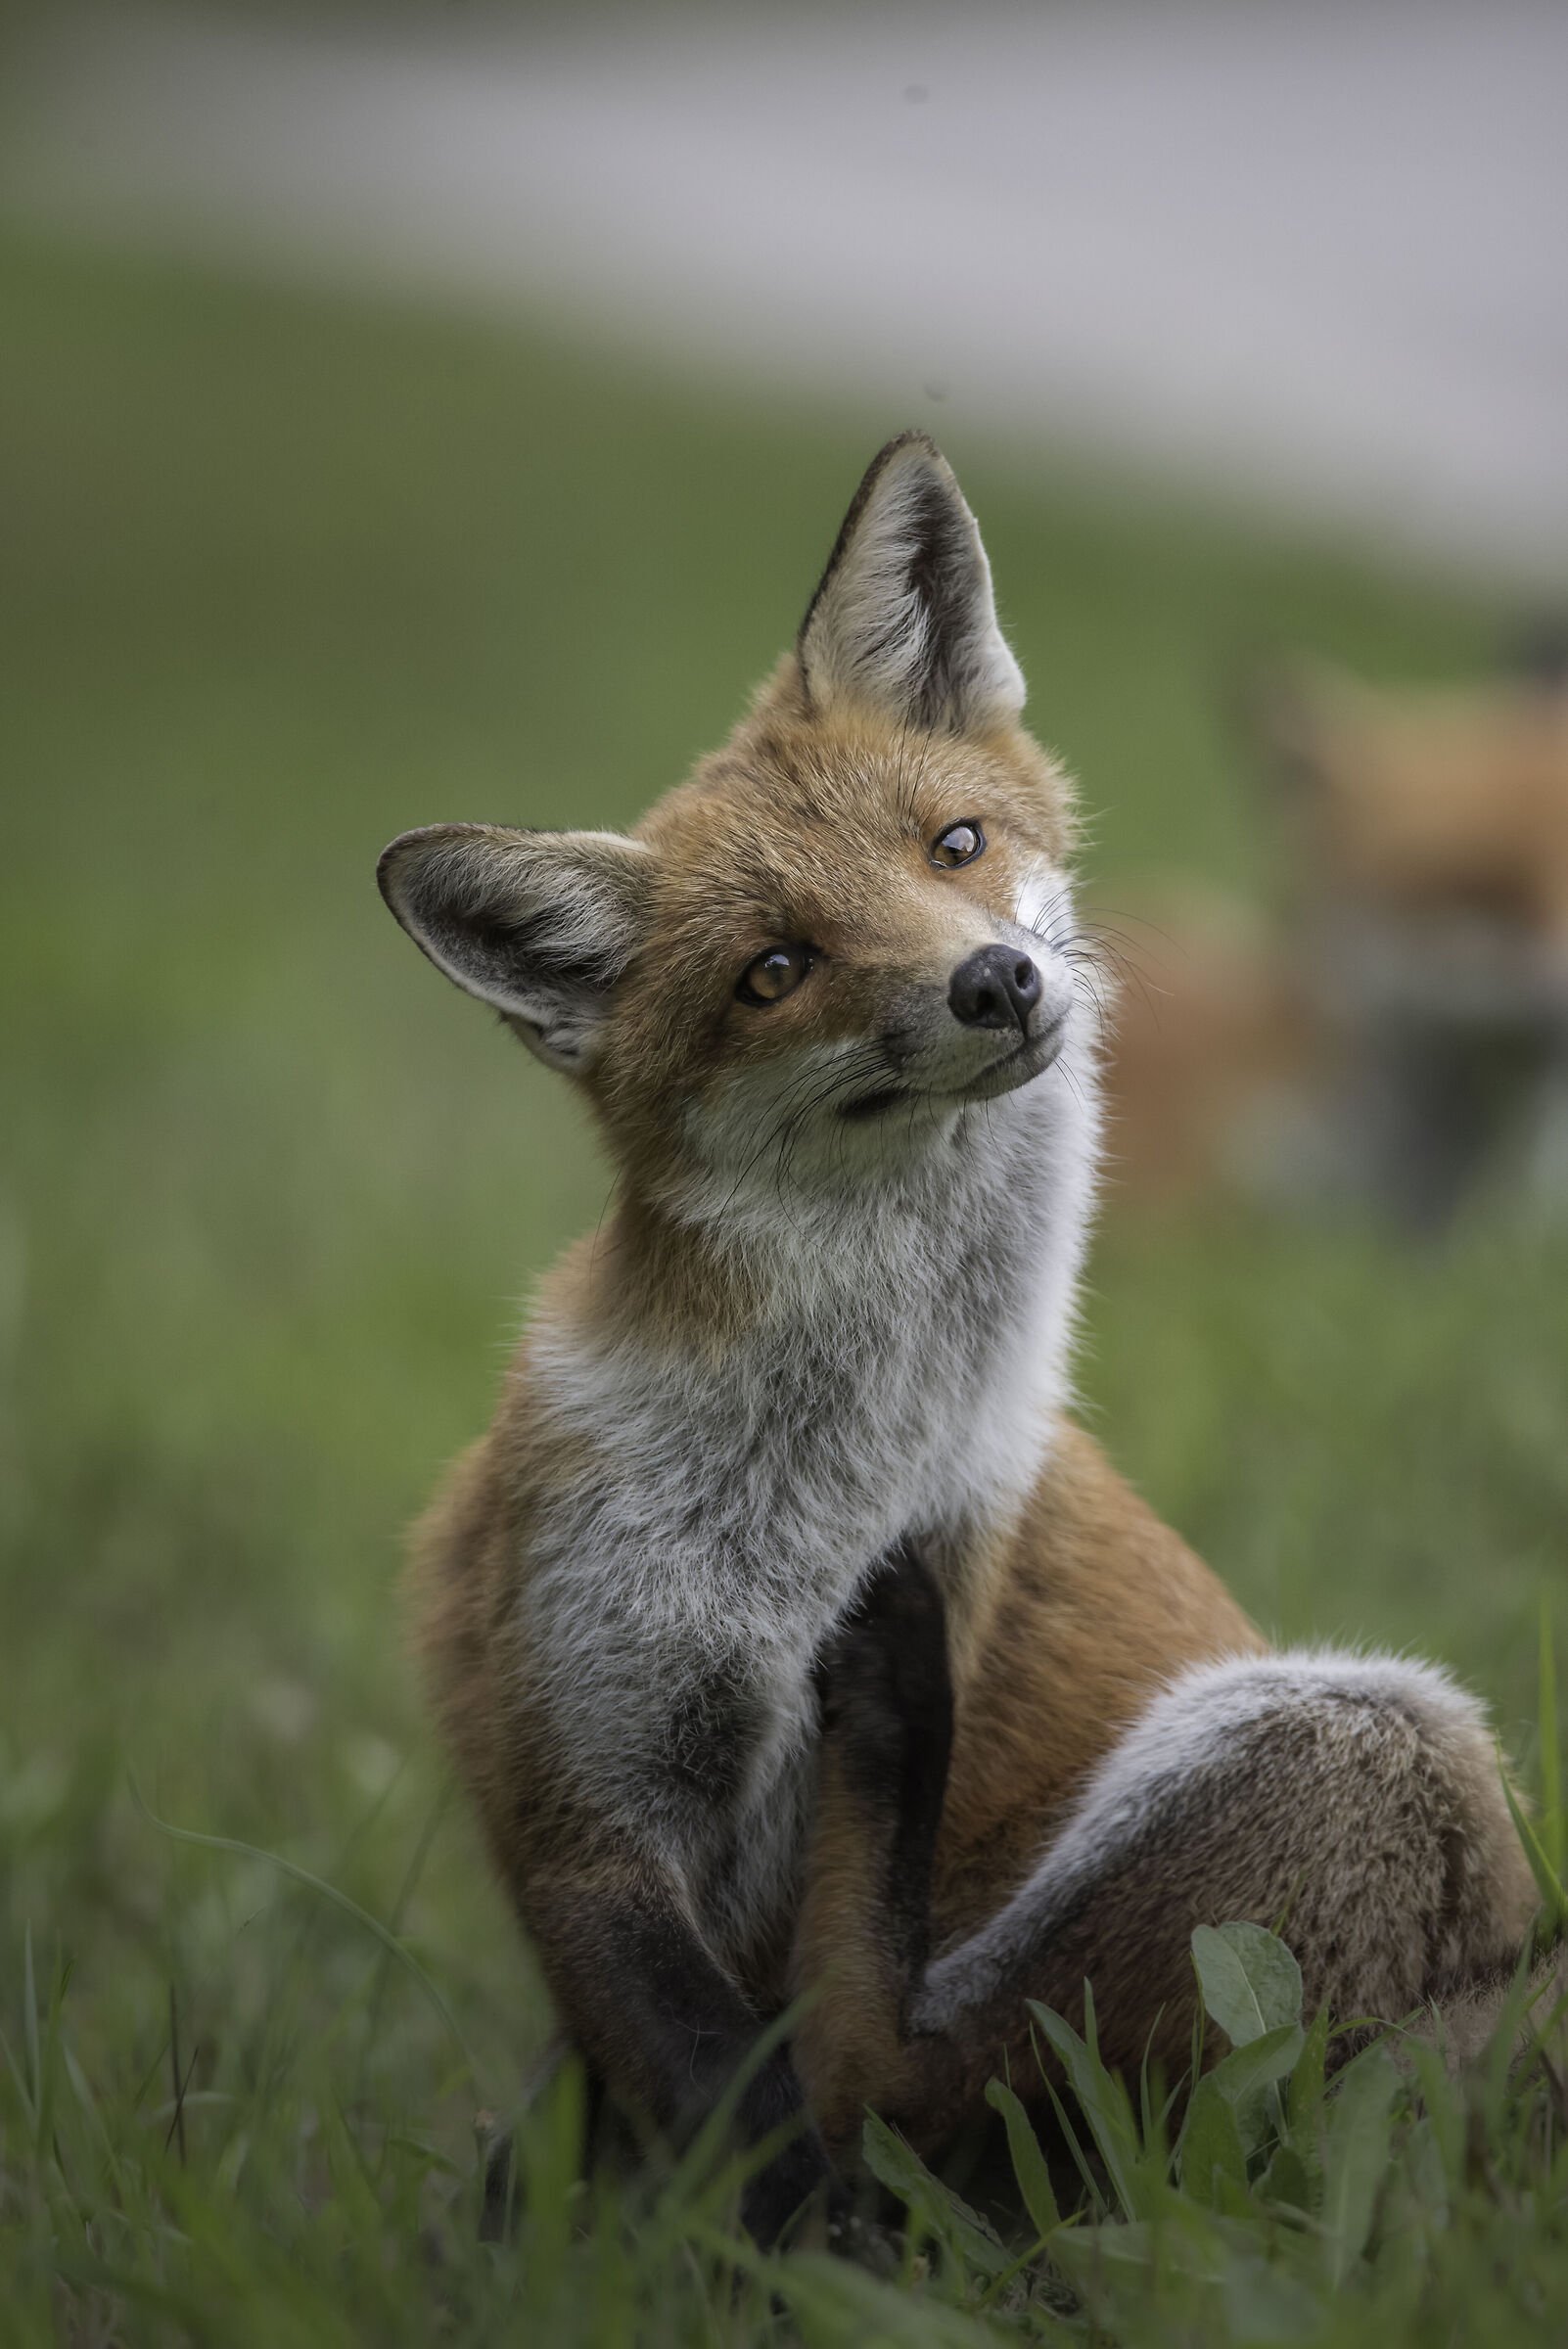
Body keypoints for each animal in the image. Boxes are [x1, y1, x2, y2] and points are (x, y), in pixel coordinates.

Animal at [377, 434, 1536, 2245]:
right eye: (774, 971)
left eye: (954, 843)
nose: (994, 982)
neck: (814, 1487)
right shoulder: (585, 1784)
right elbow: (725, 2103)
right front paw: (684, 2256)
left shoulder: (889, 1666)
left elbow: (798, 2087)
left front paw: (765, 2264)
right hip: (1383, 1747)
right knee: (888, 2077)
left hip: (1371, 1740)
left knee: (915, 2073)